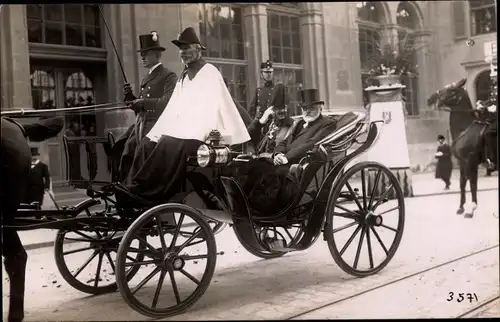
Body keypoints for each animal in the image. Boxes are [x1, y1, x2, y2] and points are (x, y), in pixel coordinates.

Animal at [426, 78, 496, 218]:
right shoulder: (462, 162)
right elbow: (462, 183)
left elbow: (472, 183)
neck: (464, 130)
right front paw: (461, 207)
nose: (430, 99)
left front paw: (471, 209)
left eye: (450, 89)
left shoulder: (470, 161)